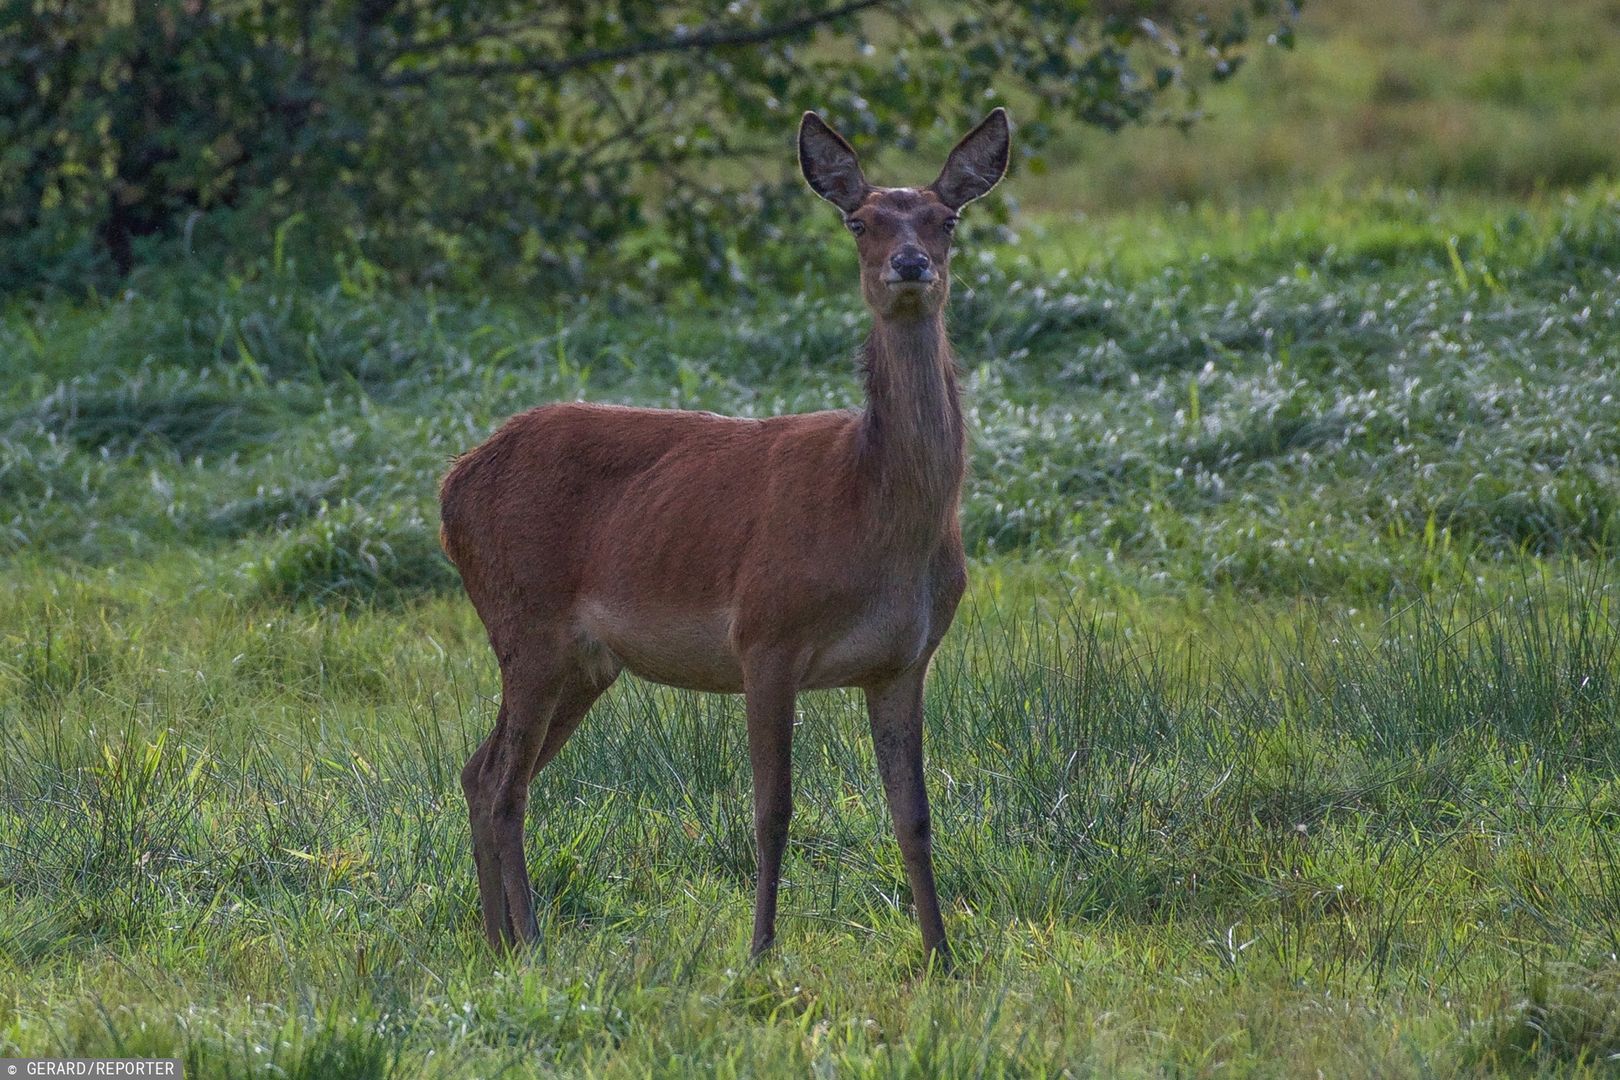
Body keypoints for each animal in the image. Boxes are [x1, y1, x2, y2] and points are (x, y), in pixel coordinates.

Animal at [437, 105, 1004, 965]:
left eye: (947, 220)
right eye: (860, 221)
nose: (909, 266)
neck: (870, 510)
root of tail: (452, 484)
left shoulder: (904, 660)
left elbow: (914, 814)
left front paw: (941, 952)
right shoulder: (764, 634)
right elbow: (773, 810)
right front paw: (762, 950)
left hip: (584, 660)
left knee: (482, 769)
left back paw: (497, 941)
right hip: (524, 618)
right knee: (504, 780)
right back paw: (530, 940)